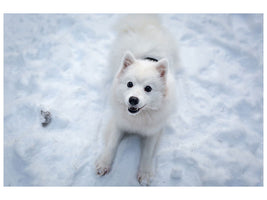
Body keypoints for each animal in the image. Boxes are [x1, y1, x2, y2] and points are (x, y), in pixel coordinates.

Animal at [95, 14, 179, 186]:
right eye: (129, 84)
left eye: (148, 88)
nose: (133, 99)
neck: (138, 118)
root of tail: (145, 22)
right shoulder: (119, 123)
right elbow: (111, 144)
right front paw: (104, 164)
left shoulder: (154, 131)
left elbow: (147, 152)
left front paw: (145, 173)